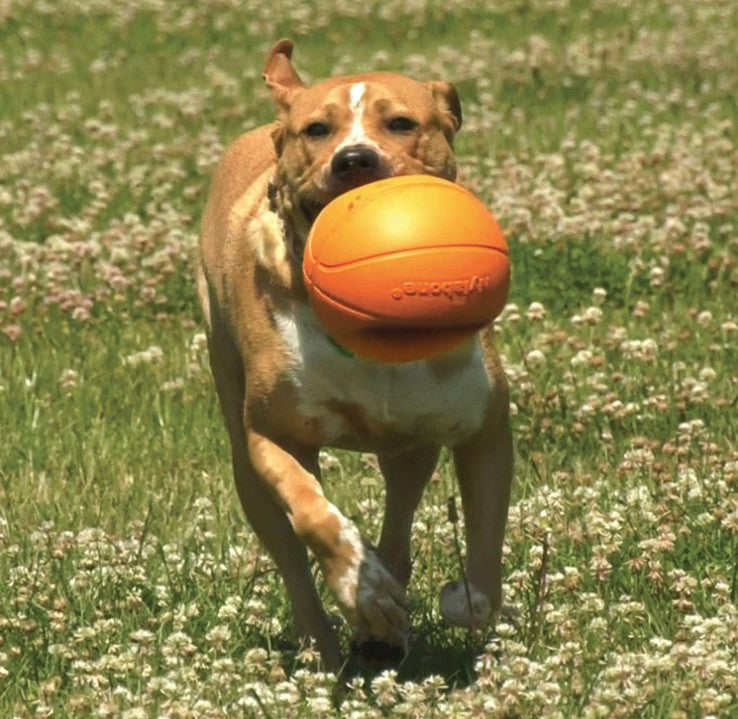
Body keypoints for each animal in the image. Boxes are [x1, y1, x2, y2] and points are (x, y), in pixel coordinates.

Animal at [194, 39, 512, 668]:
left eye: (402, 123)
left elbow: (487, 546)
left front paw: (463, 599)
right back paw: (334, 641)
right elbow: (314, 514)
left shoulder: (485, 423)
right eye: (317, 129)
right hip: (243, 455)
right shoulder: (272, 433)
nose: (355, 160)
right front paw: (362, 588)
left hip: (411, 445)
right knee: (291, 555)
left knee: (401, 514)